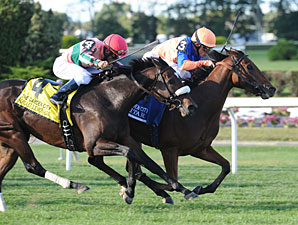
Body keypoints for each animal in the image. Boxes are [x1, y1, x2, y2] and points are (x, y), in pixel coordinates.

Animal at [0, 56, 199, 211]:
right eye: (170, 79)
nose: (191, 106)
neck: (110, 99)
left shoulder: (125, 137)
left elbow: (148, 161)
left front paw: (182, 190)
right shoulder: (93, 144)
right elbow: (129, 153)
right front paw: (130, 189)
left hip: (10, 142)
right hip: (14, 134)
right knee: (33, 166)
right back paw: (75, 185)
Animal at [127, 48, 276, 203]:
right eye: (249, 66)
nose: (271, 88)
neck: (200, 108)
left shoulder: (200, 149)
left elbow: (226, 166)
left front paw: (200, 188)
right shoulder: (169, 149)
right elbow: (172, 181)